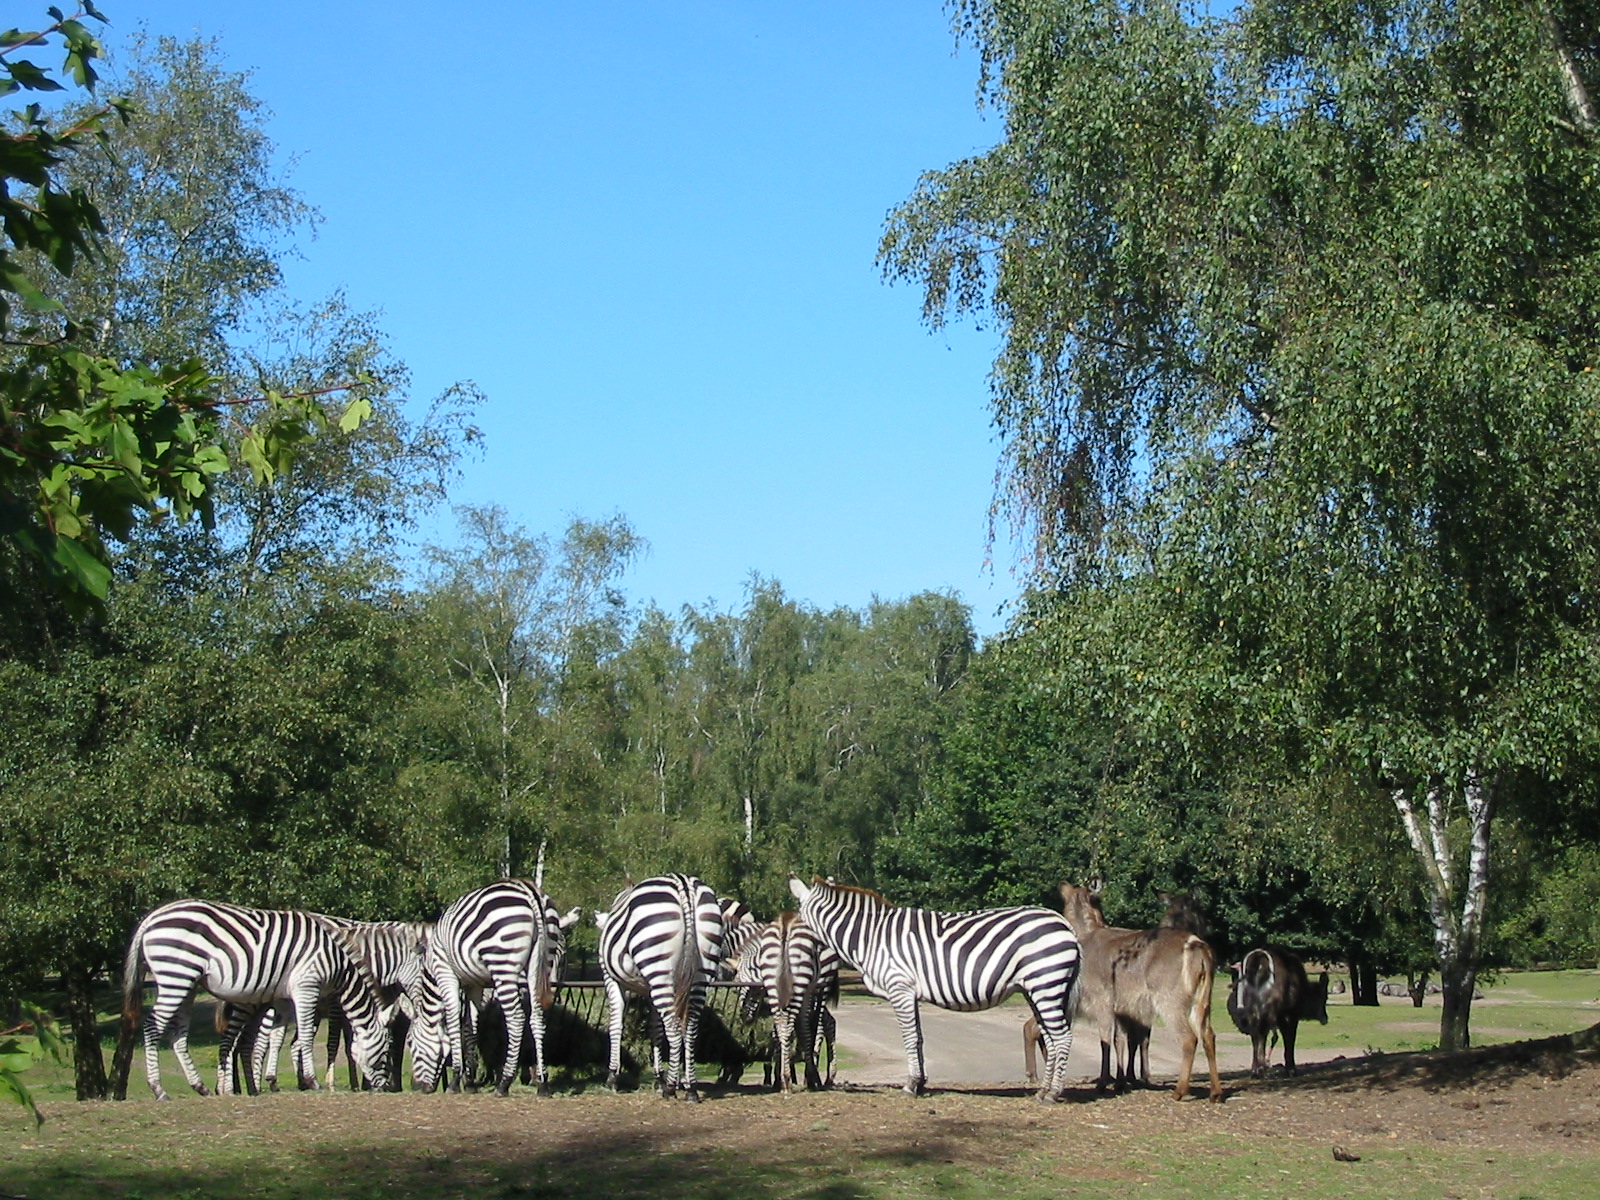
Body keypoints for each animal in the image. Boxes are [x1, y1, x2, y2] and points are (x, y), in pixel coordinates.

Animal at [121, 899, 392, 1100]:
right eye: (385, 1049)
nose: (386, 1088)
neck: (338, 963)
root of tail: (152, 918)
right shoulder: (307, 986)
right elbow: (304, 1035)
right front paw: (313, 1081)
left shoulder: (282, 999)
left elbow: (276, 1037)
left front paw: (271, 1081)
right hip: (176, 975)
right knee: (152, 1026)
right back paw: (158, 1089)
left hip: (185, 983)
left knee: (178, 1033)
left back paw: (200, 1087)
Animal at [422, 879, 581, 1096]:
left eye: (413, 1045)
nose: (421, 1088)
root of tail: (531, 892)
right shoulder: (475, 984)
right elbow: (470, 1027)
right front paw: (469, 1082)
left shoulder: (446, 972)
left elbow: (455, 1021)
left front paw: (456, 1079)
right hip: (540, 965)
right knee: (537, 1018)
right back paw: (542, 1083)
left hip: (503, 963)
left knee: (516, 1018)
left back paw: (504, 1083)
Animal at [596, 873, 724, 1100]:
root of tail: (684, 886)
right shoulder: (649, 989)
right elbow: (655, 1028)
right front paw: (659, 1077)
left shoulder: (611, 979)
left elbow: (616, 1025)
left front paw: (612, 1077)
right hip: (700, 974)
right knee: (689, 1027)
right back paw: (690, 1088)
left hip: (658, 968)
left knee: (673, 1027)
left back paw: (671, 1088)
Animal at [732, 910, 840, 1093]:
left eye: (750, 988)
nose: (744, 1017)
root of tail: (785, 927)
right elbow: (802, 1029)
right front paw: (807, 1075)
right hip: (805, 985)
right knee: (814, 1023)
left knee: (812, 1023)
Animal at [789, 875, 1081, 1100]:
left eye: (797, 923)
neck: (870, 938)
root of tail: (1064, 924)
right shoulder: (910, 993)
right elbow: (918, 1037)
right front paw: (921, 1083)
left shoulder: (900, 988)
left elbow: (908, 1037)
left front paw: (909, 1085)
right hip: (1038, 989)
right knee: (1050, 1037)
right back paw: (1042, 1091)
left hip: (1046, 985)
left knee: (1062, 1037)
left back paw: (1053, 1094)